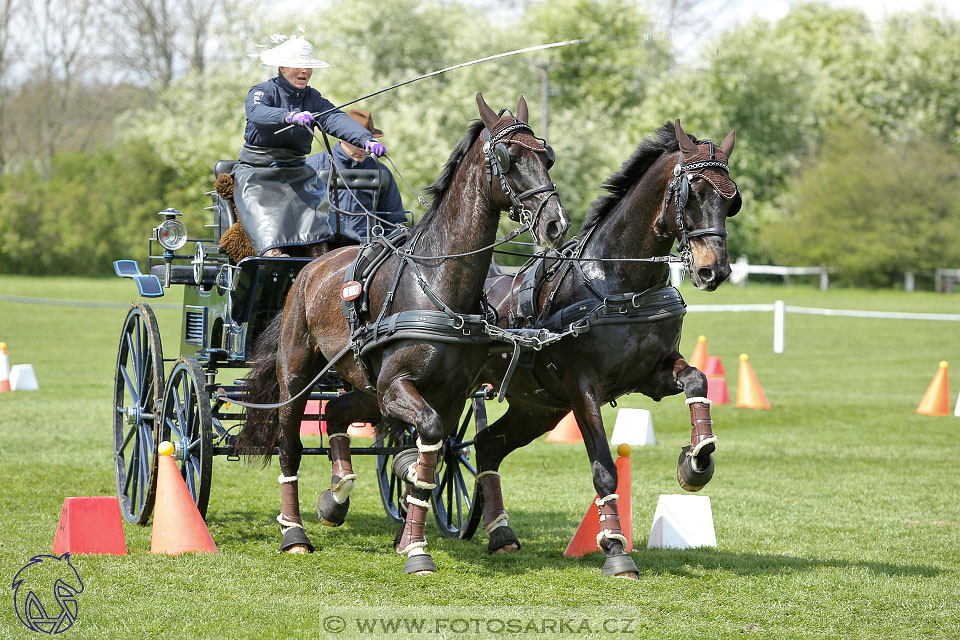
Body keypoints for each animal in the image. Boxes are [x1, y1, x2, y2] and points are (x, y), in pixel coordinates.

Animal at [240, 91, 568, 576]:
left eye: (546, 156)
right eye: (508, 158)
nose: (556, 225)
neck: (437, 282)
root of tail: (311, 266)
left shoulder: (449, 397)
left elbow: (432, 459)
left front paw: (409, 535)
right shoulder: (399, 386)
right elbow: (423, 449)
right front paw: (416, 549)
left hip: (366, 386)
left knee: (336, 413)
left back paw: (337, 496)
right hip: (298, 376)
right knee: (290, 446)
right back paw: (294, 532)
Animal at [476, 117, 740, 576]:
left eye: (731, 200)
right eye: (691, 194)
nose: (714, 271)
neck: (615, 283)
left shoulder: (652, 372)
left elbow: (697, 380)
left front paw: (697, 460)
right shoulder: (583, 388)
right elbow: (604, 468)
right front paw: (616, 548)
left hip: (537, 407)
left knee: (486, 445)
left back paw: (500, 534)